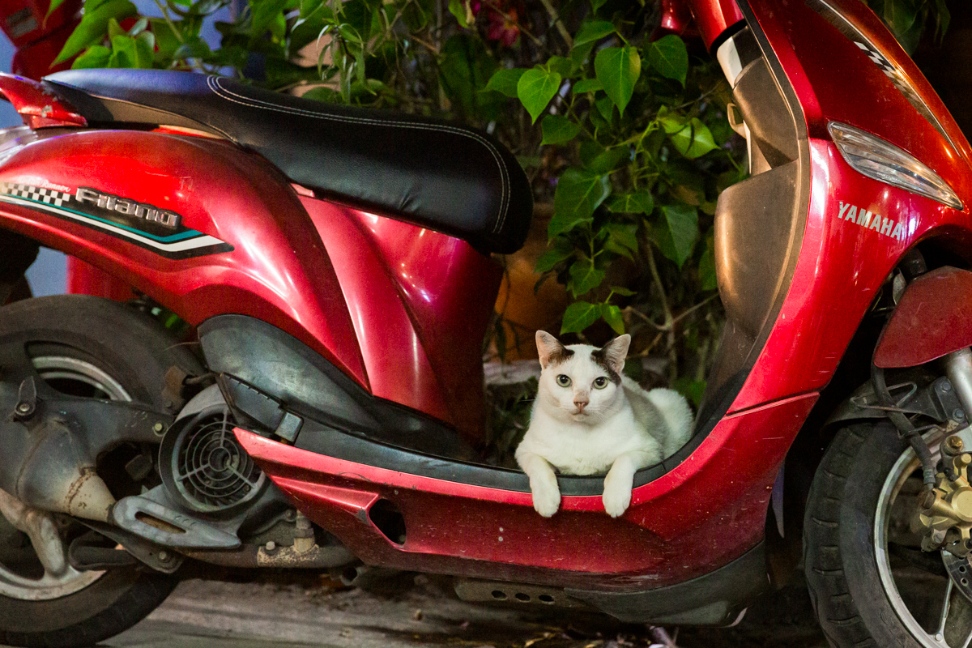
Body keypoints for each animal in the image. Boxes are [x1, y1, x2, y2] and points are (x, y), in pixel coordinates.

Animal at [516, 332, 692, 520]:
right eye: (563, 380)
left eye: (600, 382)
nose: (581, 401)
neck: (580, 432)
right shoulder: (524, 450)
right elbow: (538, 464)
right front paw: (547, 501)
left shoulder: (652, 450)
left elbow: (624, 459)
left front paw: (615, 499)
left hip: (671, 401)